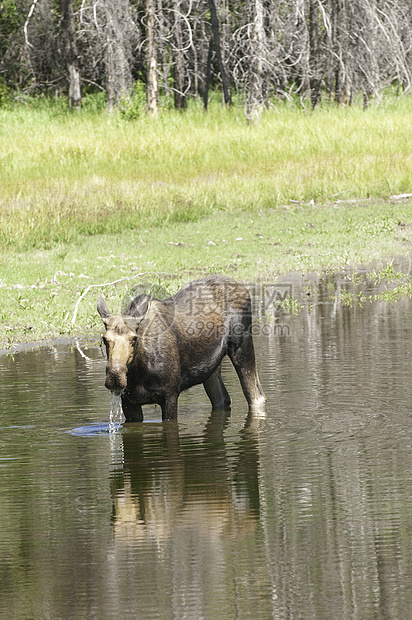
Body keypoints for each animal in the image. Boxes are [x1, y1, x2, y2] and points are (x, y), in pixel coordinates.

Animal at [98, 274, 268, 422]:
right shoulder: (129, 402)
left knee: (257, 396)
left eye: (134, 338)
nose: (115, 375)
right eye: (104, 339)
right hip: (211, 367)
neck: (139, 371)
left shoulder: (170, 394)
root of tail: (244, 289)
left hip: (242, 345)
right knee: (222, 399)